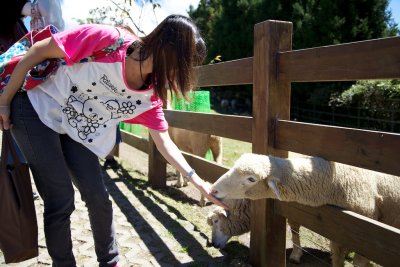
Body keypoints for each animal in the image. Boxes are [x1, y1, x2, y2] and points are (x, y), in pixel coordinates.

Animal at [211, 154, 400, 266]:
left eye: (251, 179)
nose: (213, 190)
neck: (333, 181)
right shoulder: (339, 230)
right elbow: (336, 255)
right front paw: (296, 254)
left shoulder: (364, 232)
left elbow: (357, 261)